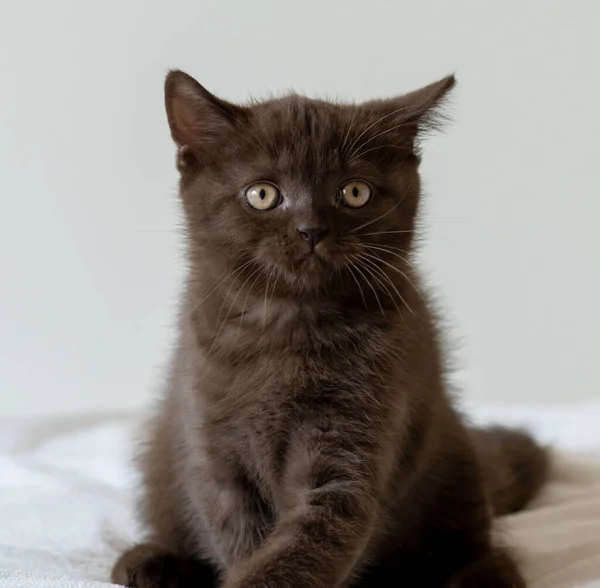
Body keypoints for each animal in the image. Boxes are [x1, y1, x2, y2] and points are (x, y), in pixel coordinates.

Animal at [110, 70, 548, 588]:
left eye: (354, 192)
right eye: (263, 194)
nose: (310, 230)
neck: (289, 326)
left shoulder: (353, 445)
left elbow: (315, 535)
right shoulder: (212, 446)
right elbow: (236, 532)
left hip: (454, 477)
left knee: (483, 551)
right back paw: (148, 563)